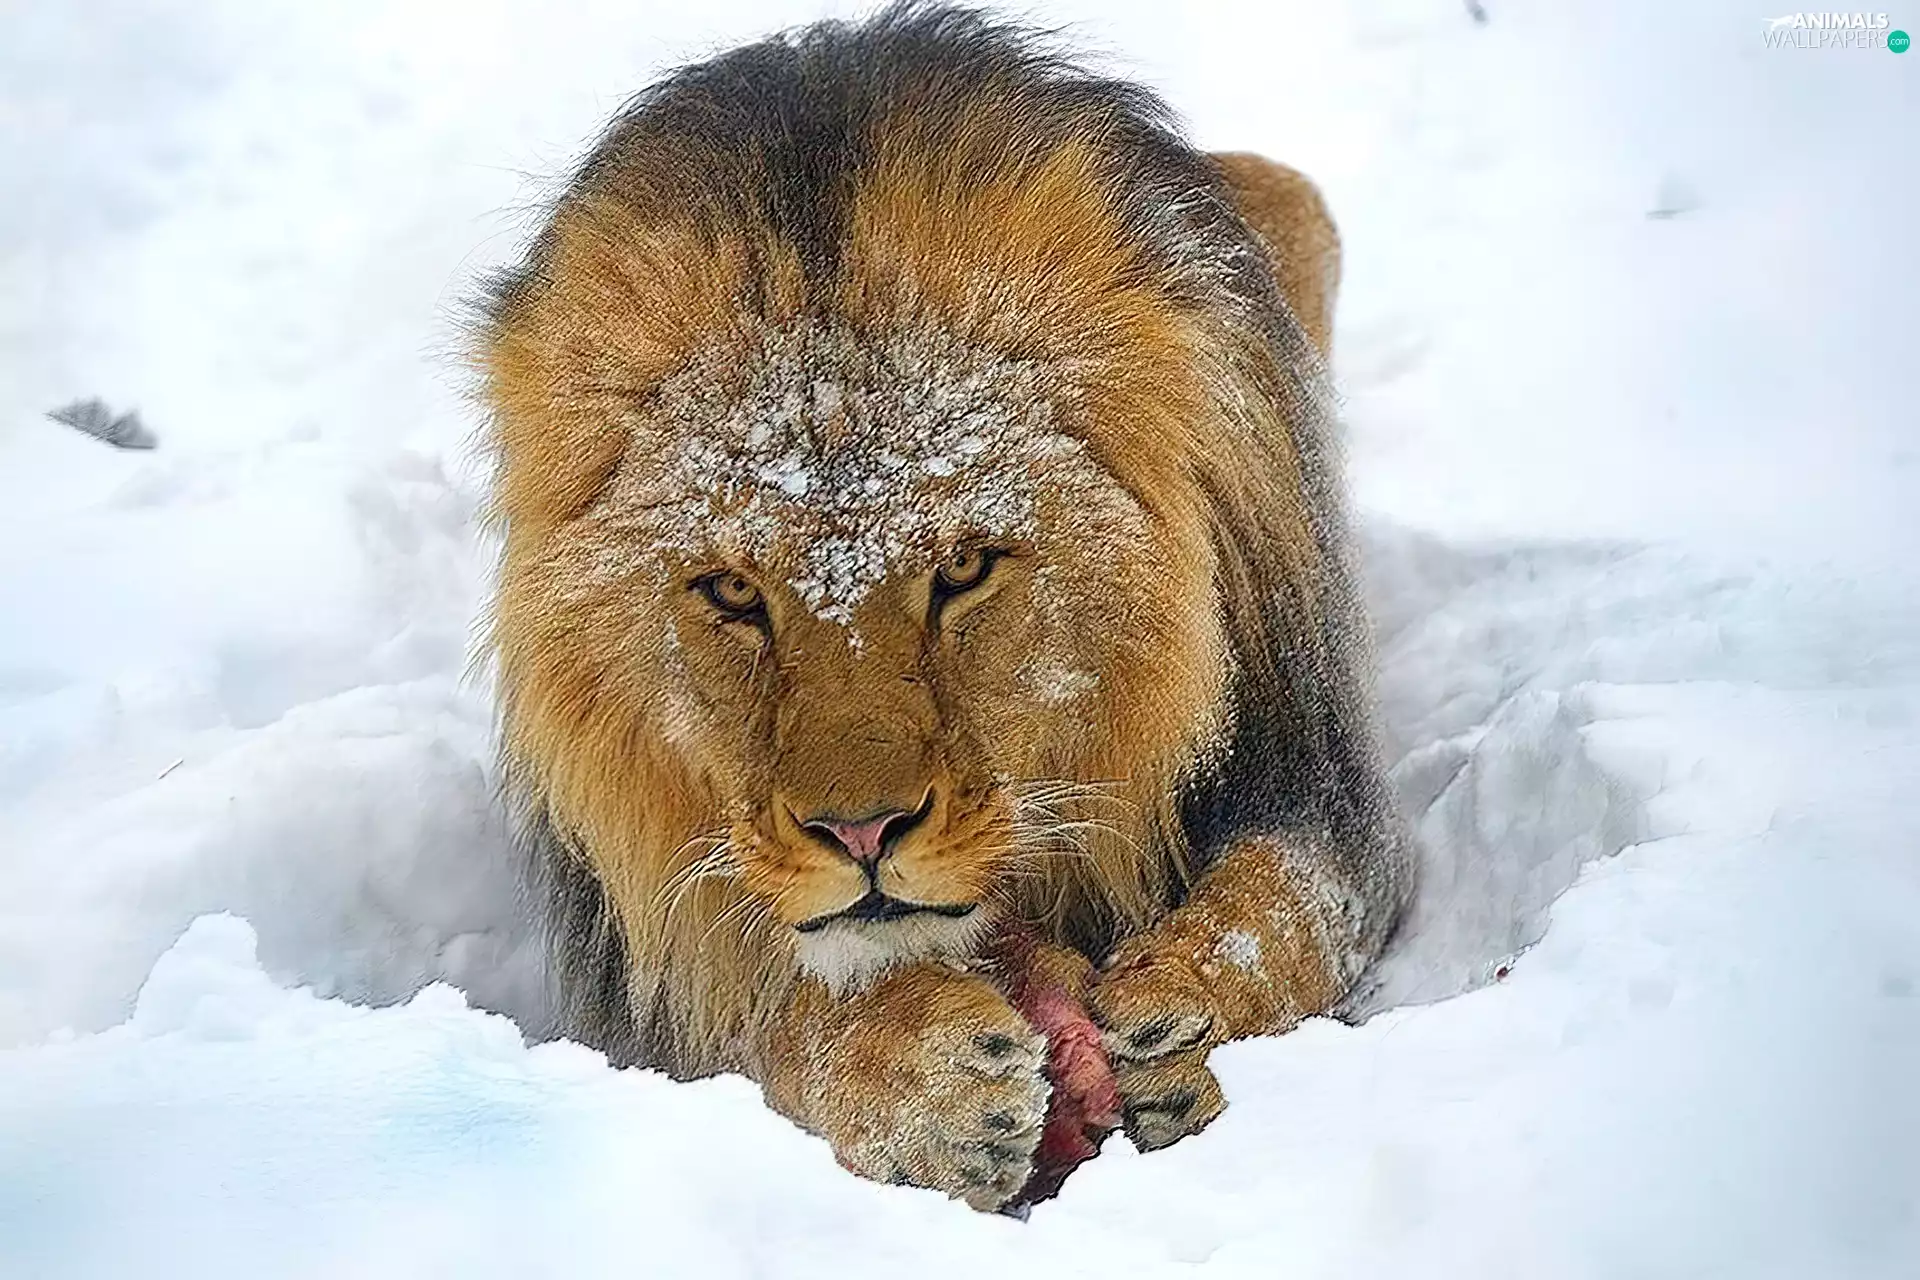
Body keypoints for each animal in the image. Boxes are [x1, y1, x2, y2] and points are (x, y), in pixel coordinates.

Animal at [477, 2, 1412, 1211]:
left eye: (964, 569)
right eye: (733, 591)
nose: (861, 832)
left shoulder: (1324, 791)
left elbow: (1291, 903)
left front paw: (1180, 1013)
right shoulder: (640, 974)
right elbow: (765, 1012)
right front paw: (925, 1076)